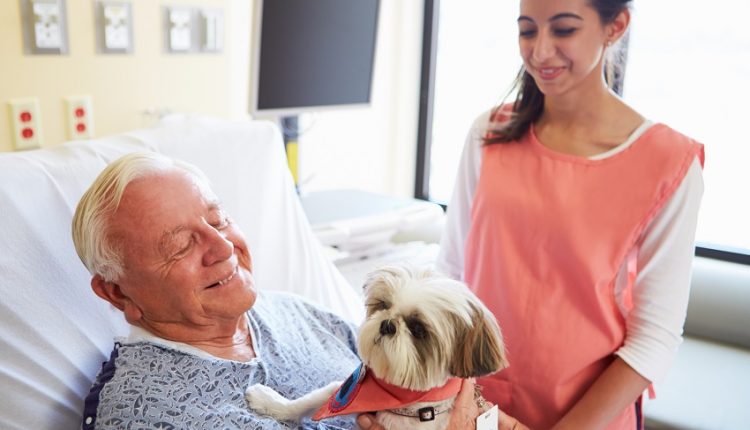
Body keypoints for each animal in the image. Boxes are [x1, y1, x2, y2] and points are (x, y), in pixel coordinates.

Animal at [250, 264, 508, 428]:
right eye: (384, 305)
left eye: (418, 329)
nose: (388, 325)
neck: (404, 402)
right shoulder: (343, 393)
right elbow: (309, 401)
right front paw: (269, 402)